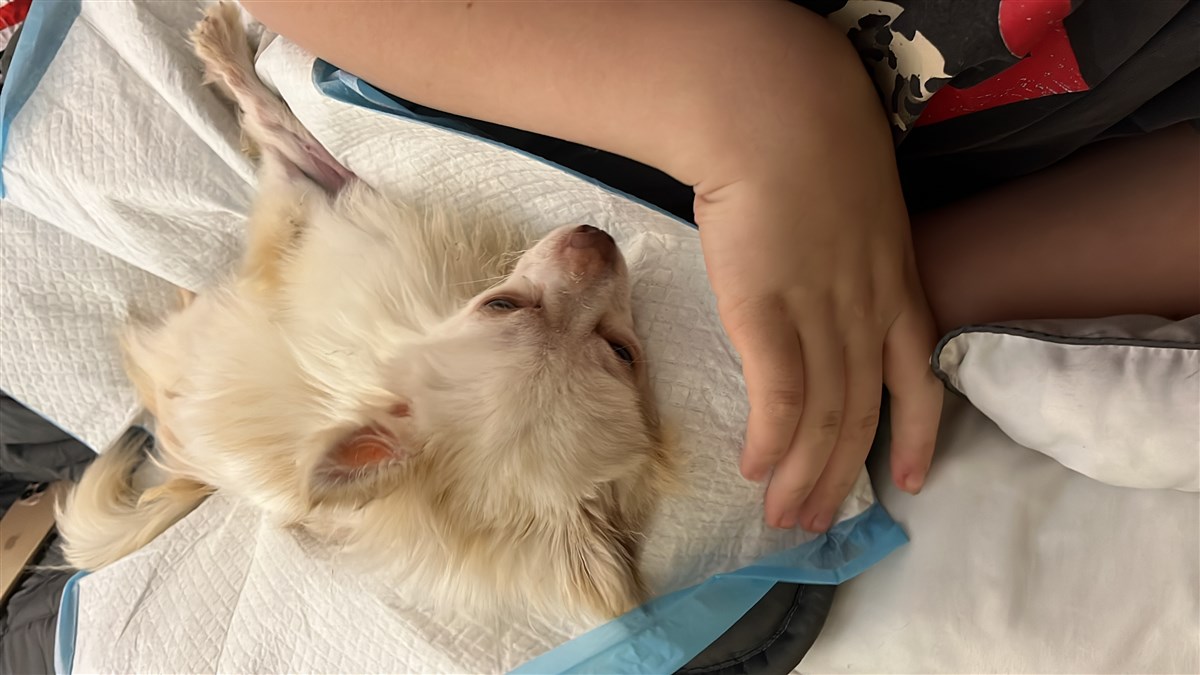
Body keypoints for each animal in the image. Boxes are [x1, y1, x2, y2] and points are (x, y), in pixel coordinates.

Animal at [56, 2, 673, 621]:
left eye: (623, 350)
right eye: (502, 304)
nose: (597, 239)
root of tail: (188, 466)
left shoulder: (311, 210)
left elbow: (280, 130)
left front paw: (223, 49)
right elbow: (291, 131)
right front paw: (233, 50)